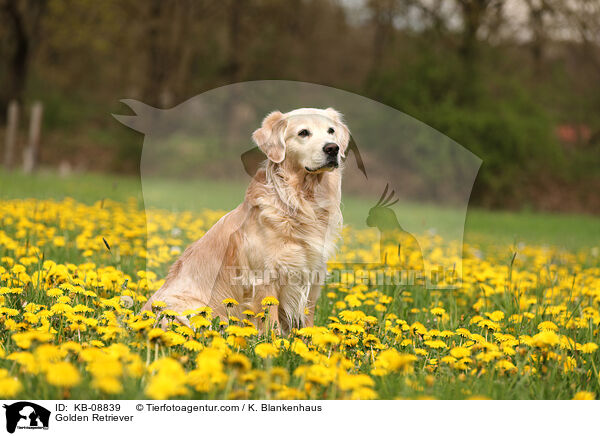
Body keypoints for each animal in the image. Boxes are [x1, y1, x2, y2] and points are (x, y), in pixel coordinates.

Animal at [142, 107, 350, 332]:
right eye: (303, 133)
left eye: (331, 131)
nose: (333, 148)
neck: (300, 201)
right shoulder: (264, 278)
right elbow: (271, 325)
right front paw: (275, 342)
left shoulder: (312, 275)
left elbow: (307, 324)